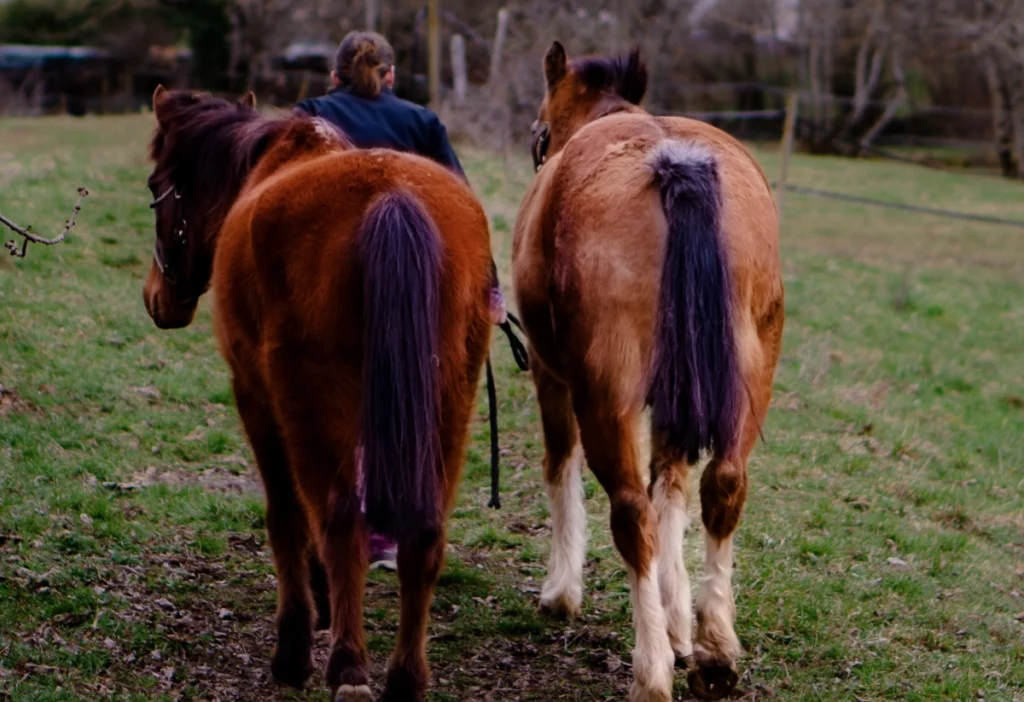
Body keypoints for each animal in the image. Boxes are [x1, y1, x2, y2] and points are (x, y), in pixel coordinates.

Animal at [142, 86, 494, 702]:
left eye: (155, 184)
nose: (156, 297)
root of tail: (391, 198)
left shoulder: (256, 396)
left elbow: (286, 516)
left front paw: (297, 641)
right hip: (447, 403)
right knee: (423, 531)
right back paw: (405, 676)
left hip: (309, 402)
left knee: (337, 521)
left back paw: (347, 666)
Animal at [512, 43, 784, 701]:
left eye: (539, 133)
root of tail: (674, 163)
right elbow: (674, 490)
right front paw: (678, 619)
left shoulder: (549, 371)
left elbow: (560, 464)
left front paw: (562, 591)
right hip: (747, 378)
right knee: (723, 485)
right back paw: (714, 651)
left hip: (604, 396)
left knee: (631, 510)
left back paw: (651, 670)